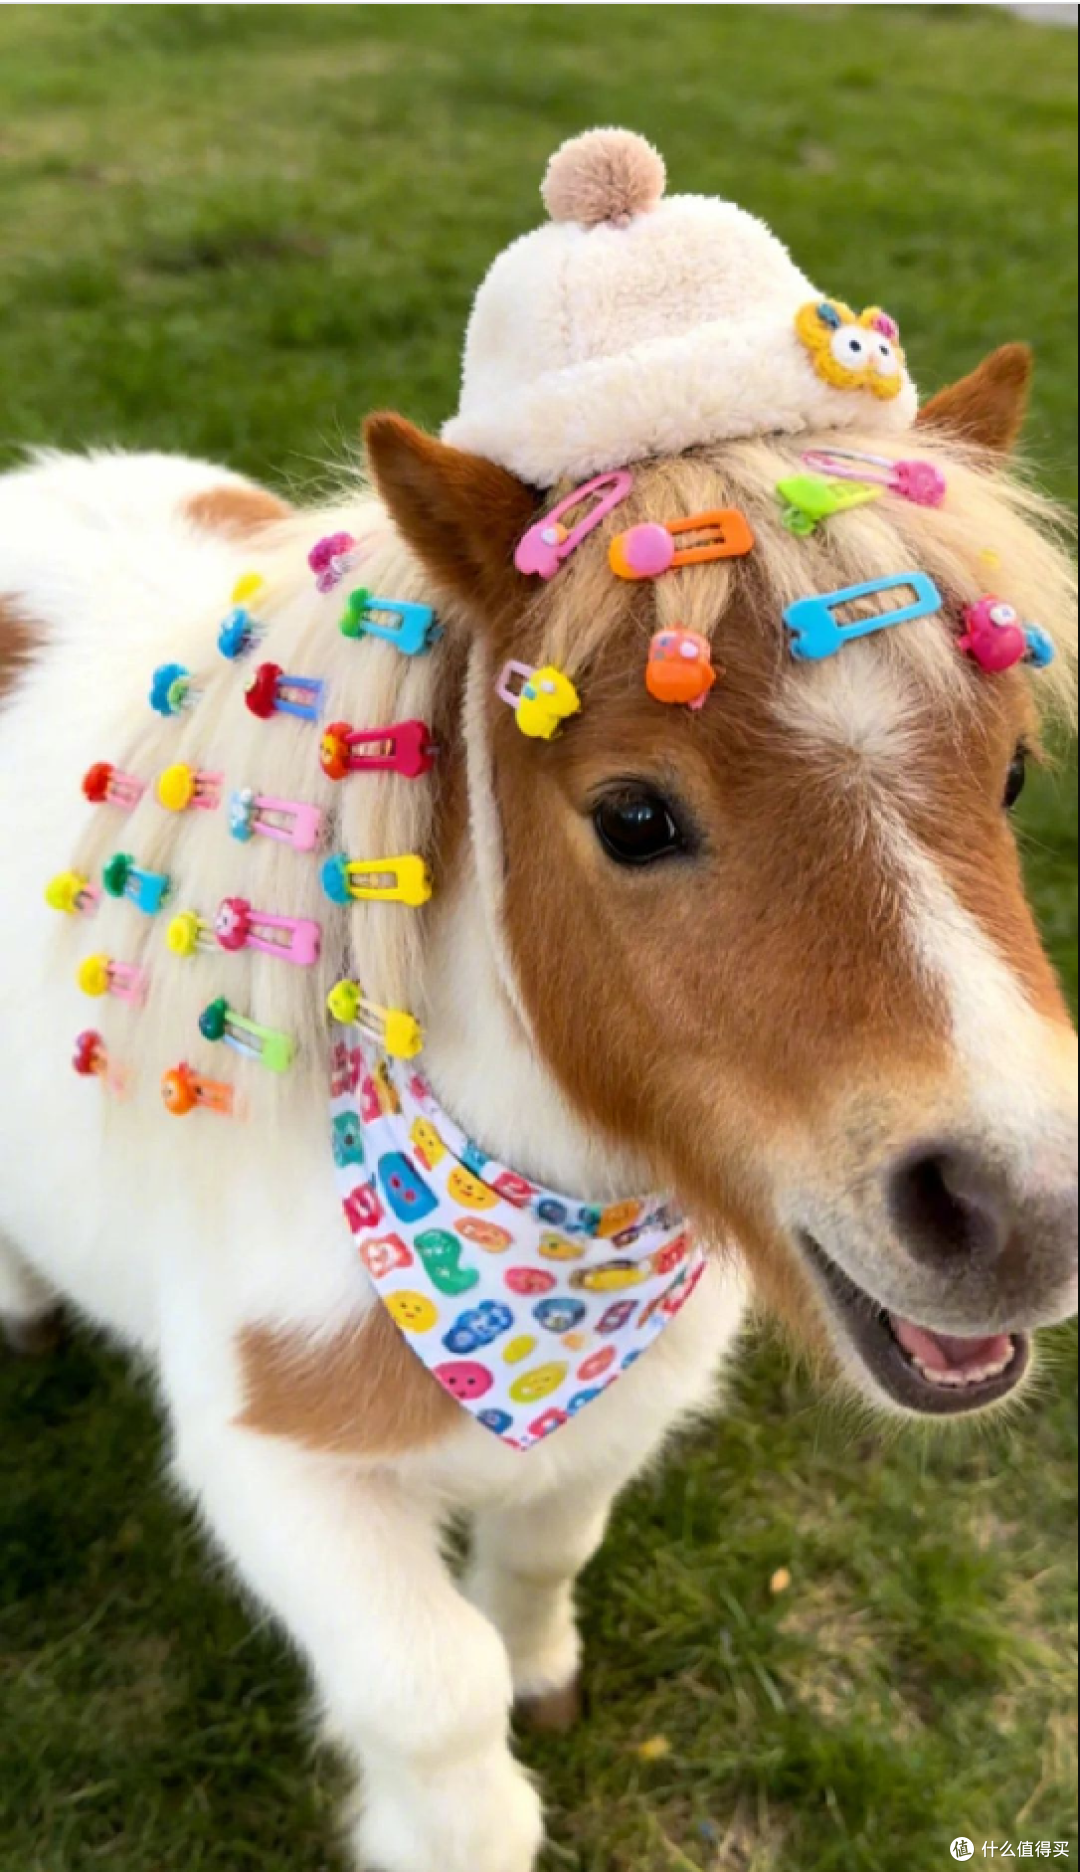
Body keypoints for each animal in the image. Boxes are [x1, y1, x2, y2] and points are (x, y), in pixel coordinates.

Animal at [0, 343, 1076, 1872]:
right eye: (633, 818)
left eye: (1014, 772)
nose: (1028, 1212)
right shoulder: (275, 1475)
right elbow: (437, 1709)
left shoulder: (615, 1419)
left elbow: (540, 1557)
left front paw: (543, 1671)